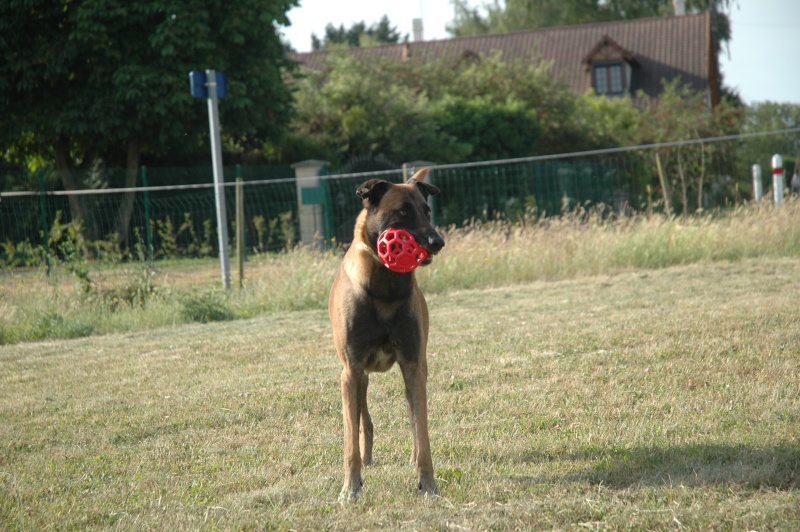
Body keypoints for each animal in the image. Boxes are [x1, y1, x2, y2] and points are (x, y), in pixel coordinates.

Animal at [330, 168, 444, 500]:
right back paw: (366, 460)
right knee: (363, 421)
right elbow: (350, 441)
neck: (384, 288)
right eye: (402, 212)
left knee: (413, 418)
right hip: (360, 379)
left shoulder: (413, 366)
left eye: (427, 211)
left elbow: (422, 431)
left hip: (418, 371)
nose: (438, 241)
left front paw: (428, 483)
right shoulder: (351, 371)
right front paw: (351, 488)